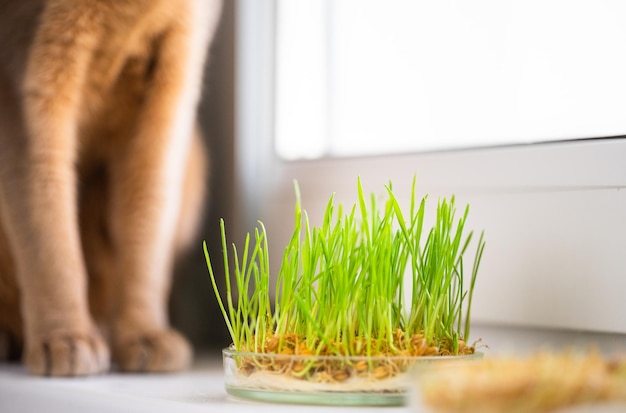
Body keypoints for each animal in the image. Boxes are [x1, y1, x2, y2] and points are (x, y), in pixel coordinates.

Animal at [0, 0, 222, 374]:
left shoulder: (168, 95)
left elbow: (146, 239)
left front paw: (144, 333)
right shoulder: (27, 93)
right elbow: (51, 243)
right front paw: (65, 336)